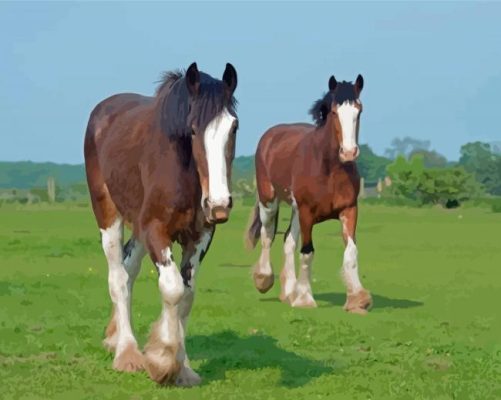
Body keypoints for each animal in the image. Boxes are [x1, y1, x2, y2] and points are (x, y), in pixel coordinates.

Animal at [84, 61, 238, 384]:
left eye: (234, 126)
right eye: (192, 129)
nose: (218, 205)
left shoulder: (200, 236)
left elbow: (187, 294)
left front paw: (184, 367)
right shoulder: (156, 230)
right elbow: (172, 288)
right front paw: (162, 360)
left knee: (128, 268)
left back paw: (115, 337)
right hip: (109, 215)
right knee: (118, 277)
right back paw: (127, 353)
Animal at [246, 74, 372, 312]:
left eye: (359, 111)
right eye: (334, 112)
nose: (349, 152)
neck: (329, 169)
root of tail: (270, 136)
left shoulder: (349, 209)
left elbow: (351, 252)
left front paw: (358, 299)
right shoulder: (306, 212)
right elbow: (307, 252)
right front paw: (304, 298)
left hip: (296, 211)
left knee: (287, 240)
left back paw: (288, 292)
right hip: (270, 202)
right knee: (268, 235)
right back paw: (264, 279)